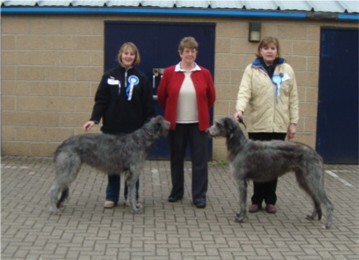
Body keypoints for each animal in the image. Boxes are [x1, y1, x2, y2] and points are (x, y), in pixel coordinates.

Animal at [207, 117, 336, 229]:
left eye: (218, 124)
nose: (206, 131)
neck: (240, 146)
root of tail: (317, 154)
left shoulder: (241, 181)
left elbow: (242, 202)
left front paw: (241, 218)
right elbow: (242, 202)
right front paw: (240, 215)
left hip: (313, 179)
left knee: (328, 203)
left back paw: (328, 224)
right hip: (303, 180)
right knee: (316, 199)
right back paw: (312, 216)